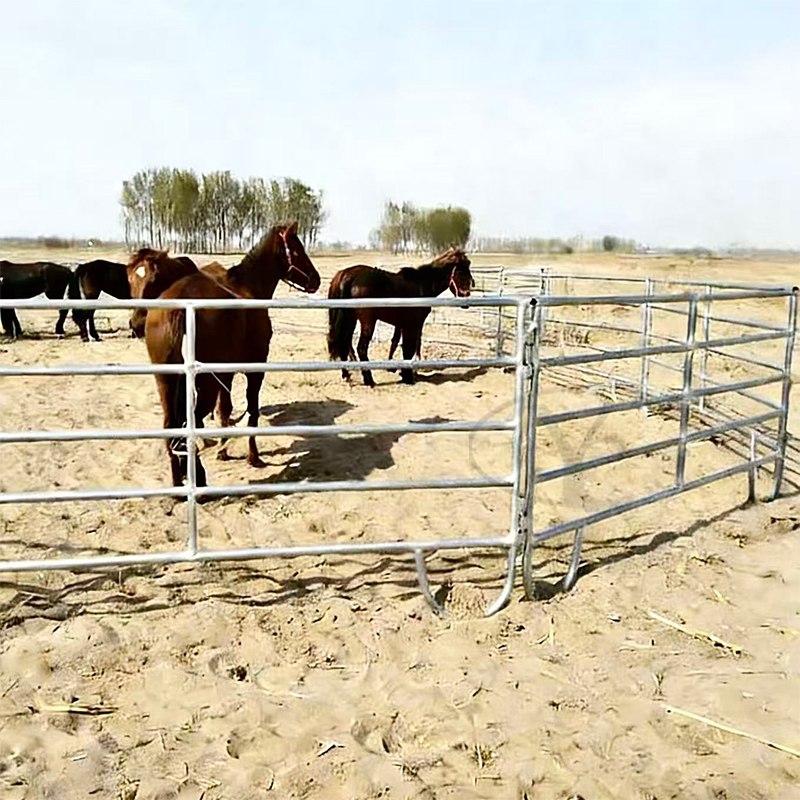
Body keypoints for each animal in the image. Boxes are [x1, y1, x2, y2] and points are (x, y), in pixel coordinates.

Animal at [142, 223, 321, 487]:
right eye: (297, 250)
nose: (315, 280)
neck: (248, 287)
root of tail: (180, 308)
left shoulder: (225, 375)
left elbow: (224, 411)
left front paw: (223, 451)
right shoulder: (255, 370)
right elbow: (252, 412)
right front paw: (253, 457)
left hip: (166, 383)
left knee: (172, 429)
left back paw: (178, 482)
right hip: (203, 386)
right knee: (187, 425)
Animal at [326, 248, 473, 386]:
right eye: (461, 272)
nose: (466, 296)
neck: (421, 286)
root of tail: (348, 275)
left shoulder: (402, 325)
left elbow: (399, 344)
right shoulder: (412, 325)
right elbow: (409, 348)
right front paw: (408, 376)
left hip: (350, 319)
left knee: (344, 343)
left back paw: (347, 376)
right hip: (367, 321)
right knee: (361, 348)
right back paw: (369, 380)